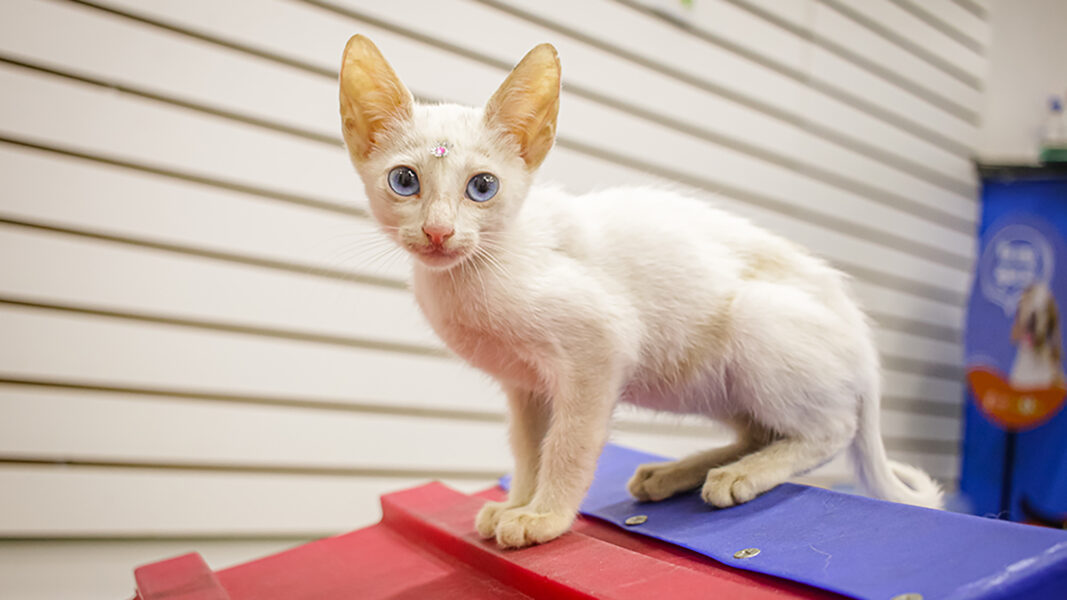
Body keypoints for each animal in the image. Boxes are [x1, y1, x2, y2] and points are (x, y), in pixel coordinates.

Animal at [339, 33, 943, 546]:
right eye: (405, 181)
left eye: (482, 187)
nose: (438, 232)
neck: (478, 268)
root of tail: (865, 345)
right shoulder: (526, 386)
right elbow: (529, 449)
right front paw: (517, 503)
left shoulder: (599, 348)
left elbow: (569, 444)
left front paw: (544, 516)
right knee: (764, 429)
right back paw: (679, 472)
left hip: (757, 321)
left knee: (832, 430)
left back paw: (741, 476)